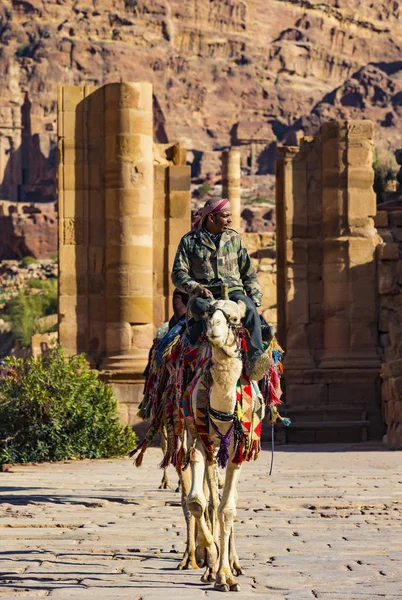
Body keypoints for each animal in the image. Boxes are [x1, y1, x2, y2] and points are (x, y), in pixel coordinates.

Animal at [177, 298, 262, 592]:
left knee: (229, 500)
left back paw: (234, 562)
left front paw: (225, 575)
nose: (214, 328)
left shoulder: (237, 449)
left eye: (234, 319)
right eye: (208, 313)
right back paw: (204, 561)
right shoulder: (205, 443)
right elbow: (200, 502)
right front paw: (212, 559)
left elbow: (227, 509)